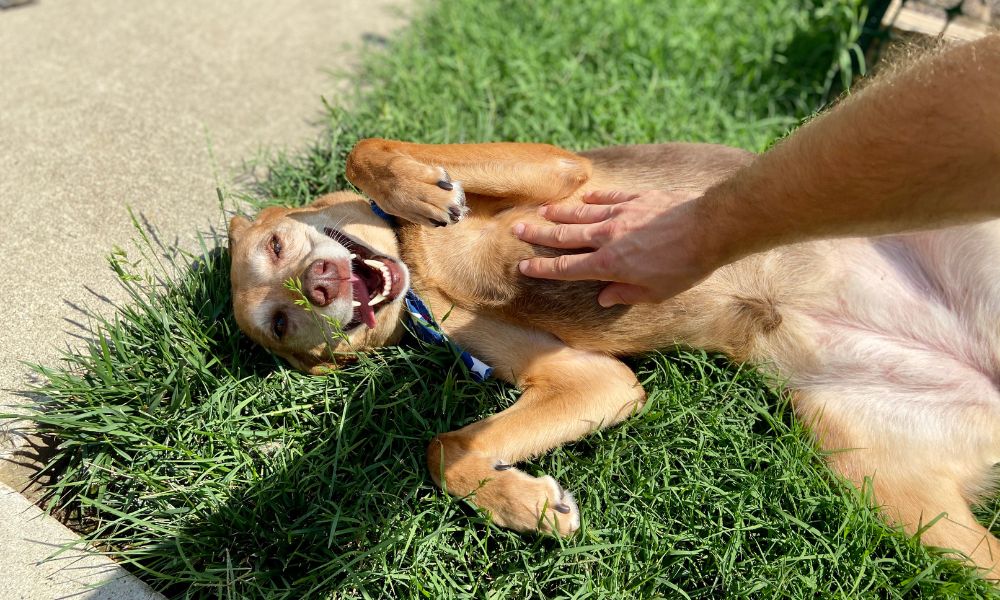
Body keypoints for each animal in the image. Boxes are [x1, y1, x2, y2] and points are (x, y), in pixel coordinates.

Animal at [227, 139, 1000, 576]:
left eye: (277, 246)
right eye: (281, 325)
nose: (319, 288)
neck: (420, 264)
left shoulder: (558, 167)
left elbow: (368, 143)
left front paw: (410, 184)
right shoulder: (592, 379)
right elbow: (446, 449)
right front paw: (527, 506)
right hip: (893, 493)